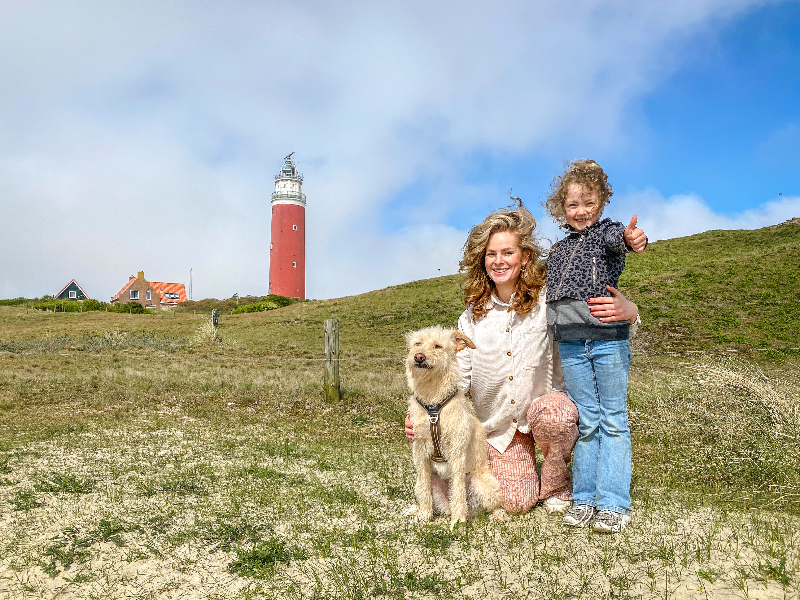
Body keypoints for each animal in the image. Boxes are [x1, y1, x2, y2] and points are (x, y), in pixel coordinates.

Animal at [406, 326, 500, 528]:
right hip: (422, 481)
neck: (433, 400)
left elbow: (457, 491)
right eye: (418, 343)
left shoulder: (457, 453)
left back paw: (496, 515)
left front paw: (458, 523)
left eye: (438, 346)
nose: (418, 357)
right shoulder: (420, 452)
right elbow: (425, 491)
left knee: (494, 504)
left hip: (483, 484)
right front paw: (424, 515)